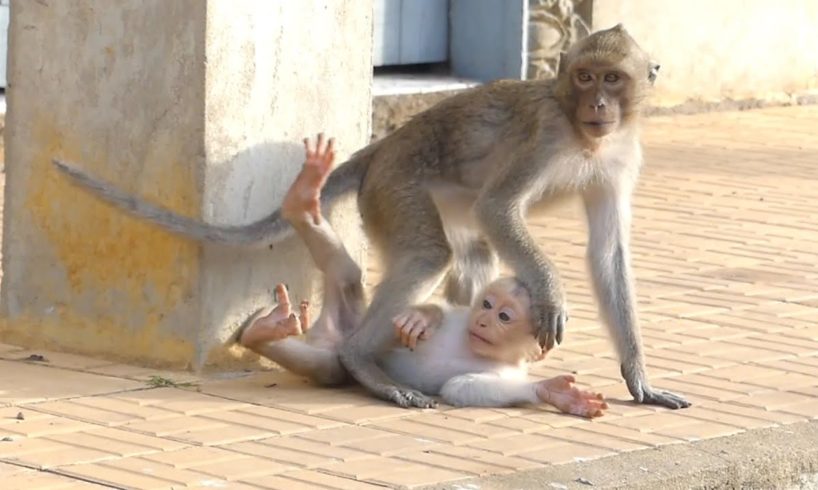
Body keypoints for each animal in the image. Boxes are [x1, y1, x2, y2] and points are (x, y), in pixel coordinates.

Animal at [236, 135, 604, 418]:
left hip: (333, 342)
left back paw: (264, 331)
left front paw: (553, 392)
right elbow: (448, 309)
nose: (483, 321)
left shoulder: (503, 370)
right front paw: (421, 319)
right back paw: (302, 201)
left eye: (504, 316)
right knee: (352, 279)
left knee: (330, 349)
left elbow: (462, 387)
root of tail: (331, 332)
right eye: (486, 304)